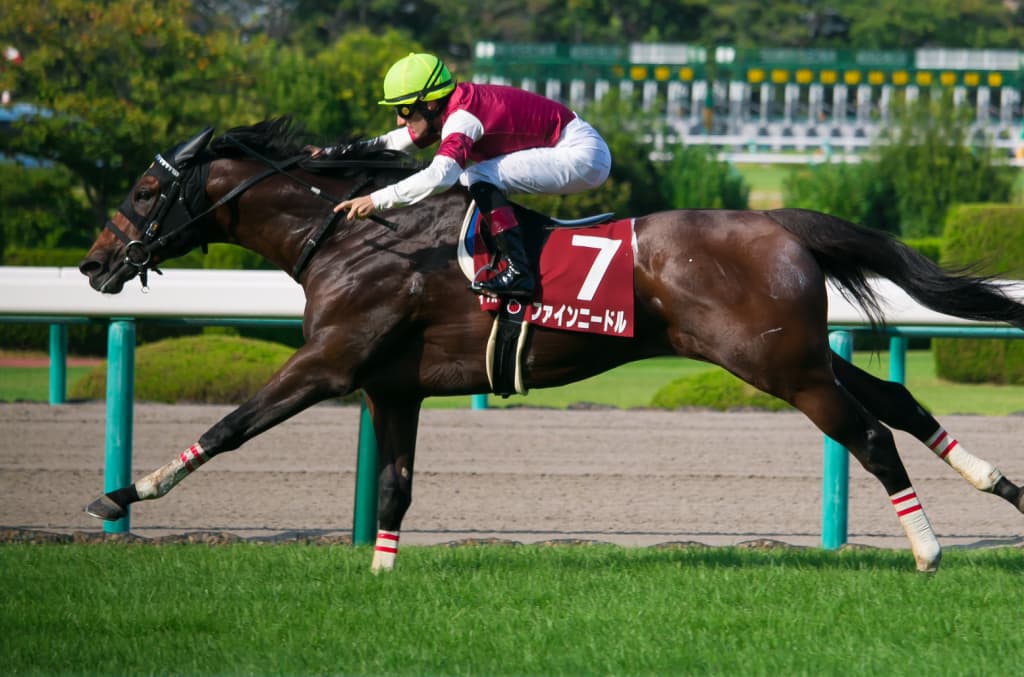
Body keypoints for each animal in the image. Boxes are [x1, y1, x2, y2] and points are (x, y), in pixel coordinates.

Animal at [80, 117, 1024, 573]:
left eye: (144, 190)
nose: (92, 264)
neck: (347, 239)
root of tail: (778, 221)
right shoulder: (392, 387)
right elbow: (393, 488)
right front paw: (380, 576)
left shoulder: (331, 361)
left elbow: (234, 424)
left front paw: (125, 493)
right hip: (797, 352)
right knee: (896, 400)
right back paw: (998, 484)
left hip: (778, 364)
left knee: (867, 432)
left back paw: (929, 549)